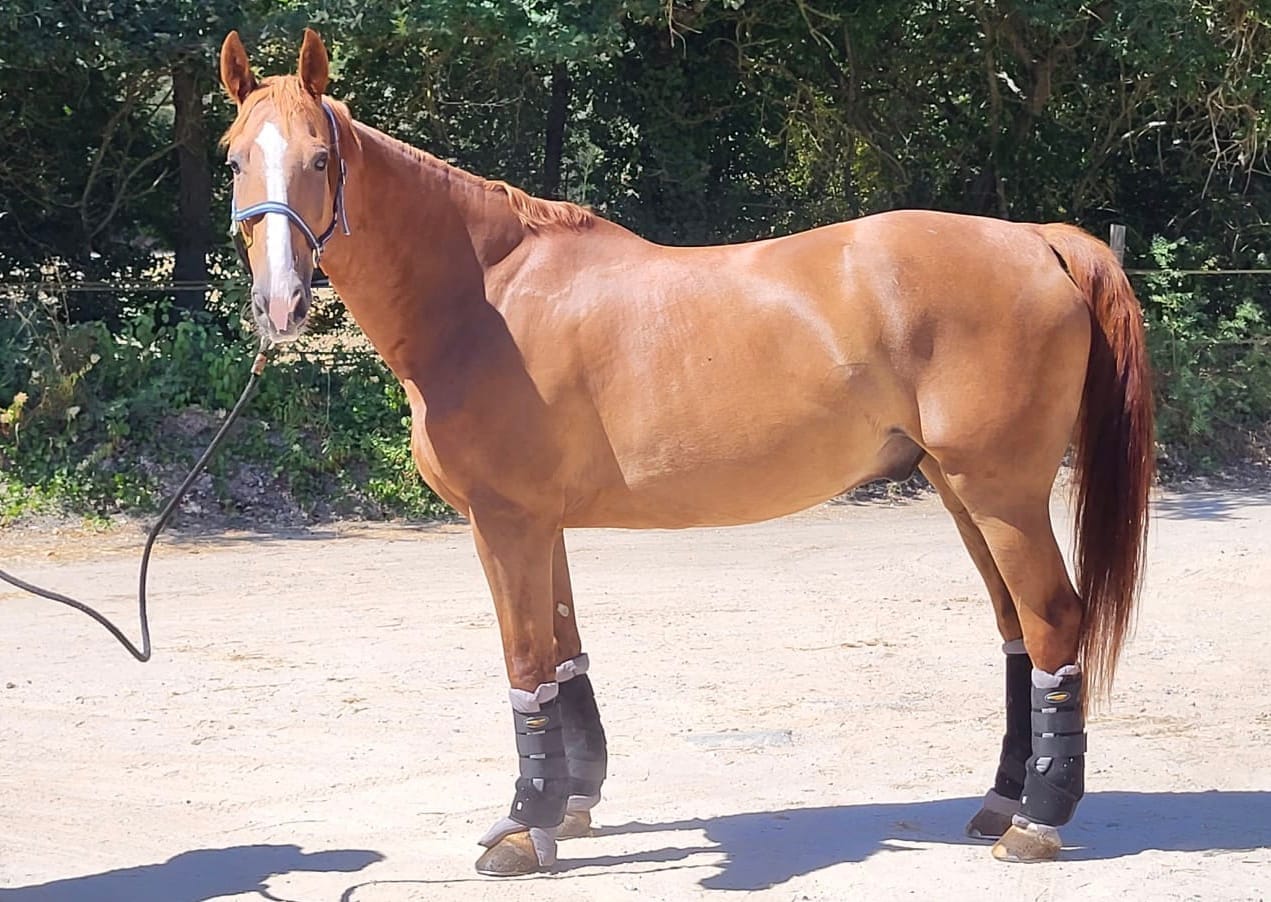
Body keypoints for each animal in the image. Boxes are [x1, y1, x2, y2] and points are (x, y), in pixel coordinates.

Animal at [218, 28, 1154, 876]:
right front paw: (569, 806)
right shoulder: (542, 525)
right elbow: (562, 654)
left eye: (317, 159)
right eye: (233, 160)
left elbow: (524, 662)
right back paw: (999, 803)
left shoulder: (504, 521)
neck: (489, 298)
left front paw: (523, 828)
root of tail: (1032, 238)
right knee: (1017, 635)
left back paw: (1035, 823)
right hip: (962, 492)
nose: (279, 303)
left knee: (1052, 622)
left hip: (999, 493)